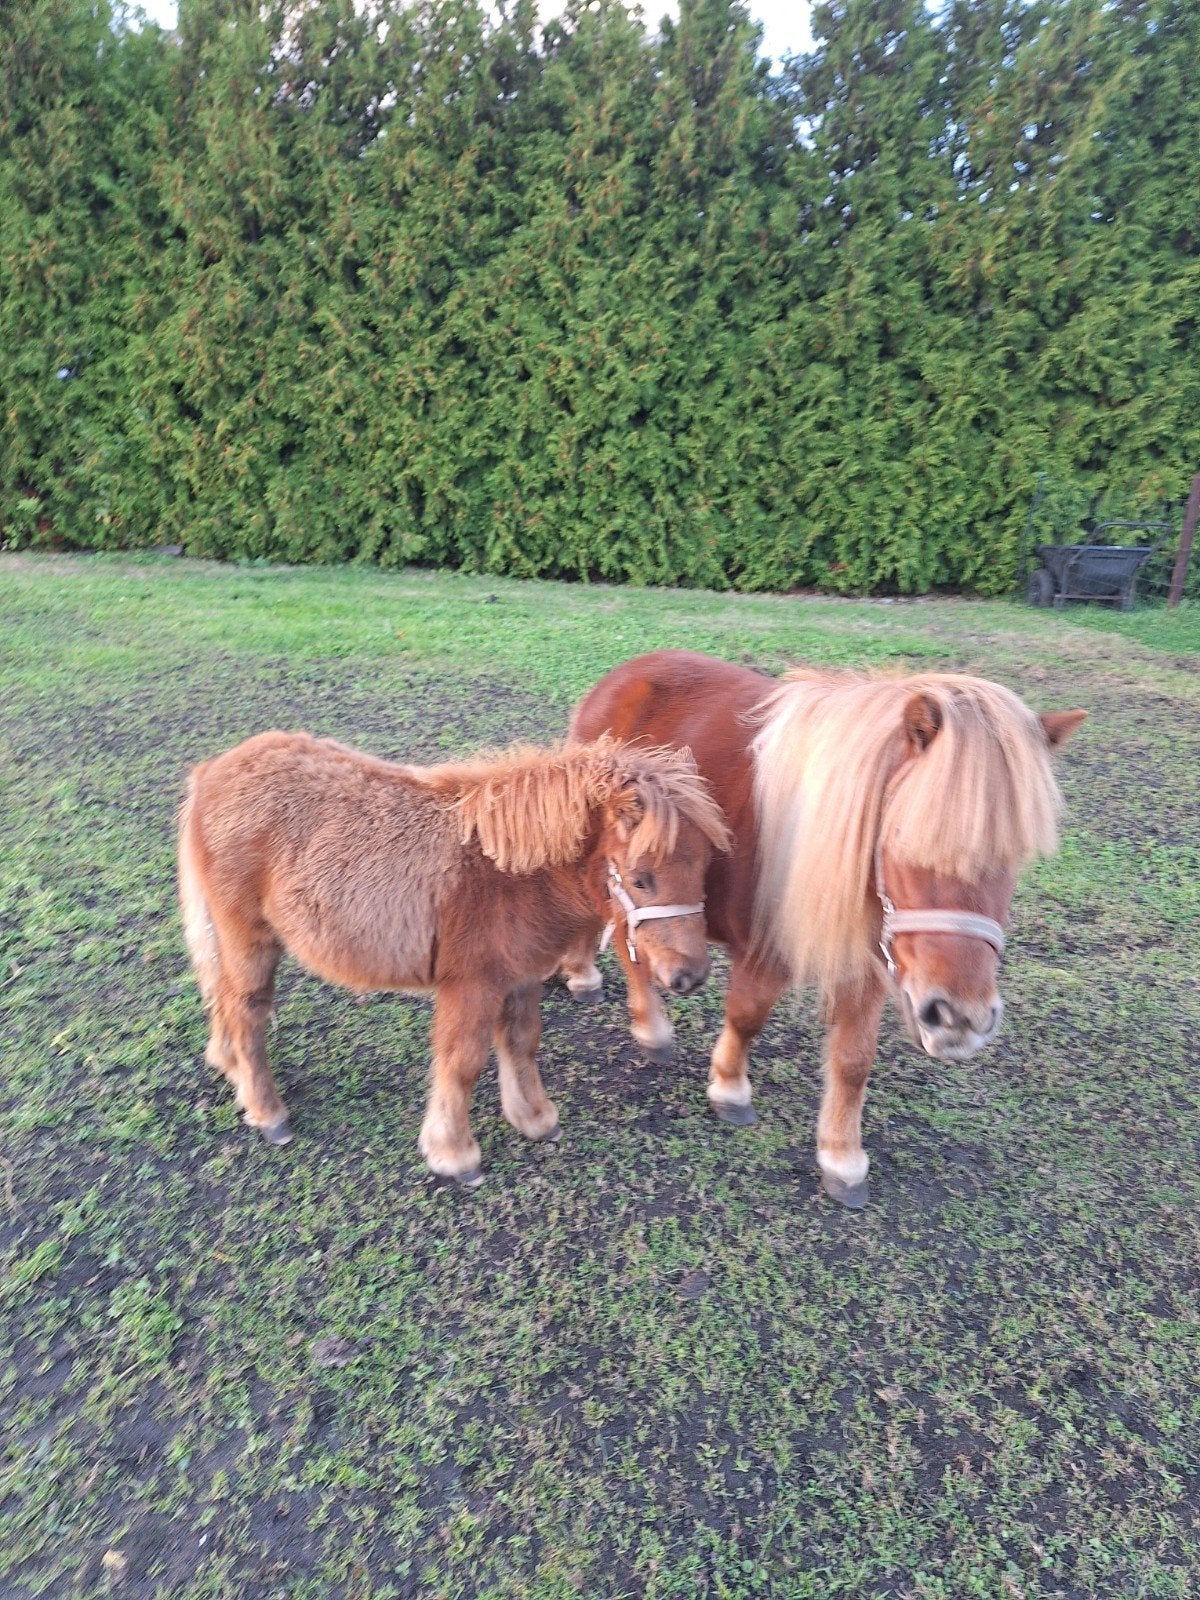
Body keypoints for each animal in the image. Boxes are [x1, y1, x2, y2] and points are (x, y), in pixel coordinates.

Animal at [178, 730, 731, 1185]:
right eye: (640, 878)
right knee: (246, 1010)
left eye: (704, 865)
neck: (508, 874)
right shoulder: (471, 986)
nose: (689, 975)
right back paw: (268, 1112)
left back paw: (230, 1068)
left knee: (223, 999)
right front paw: (454, 1154)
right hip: (250, 940)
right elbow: (462, 1063)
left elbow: (522, 1043)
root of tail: (211, 771)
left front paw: (534, 1118)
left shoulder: (521, 979)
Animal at [562, 650, 1086, 1208]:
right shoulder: (764, 950)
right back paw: (647, 1025)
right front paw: (729, 1088)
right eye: (903, 837)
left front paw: (842, 1157)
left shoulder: (875, 962)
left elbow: (854, 1059)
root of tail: (622, 675)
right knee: (625, 939)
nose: (960, 1019)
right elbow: (746, 1016)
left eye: (1017, 855)